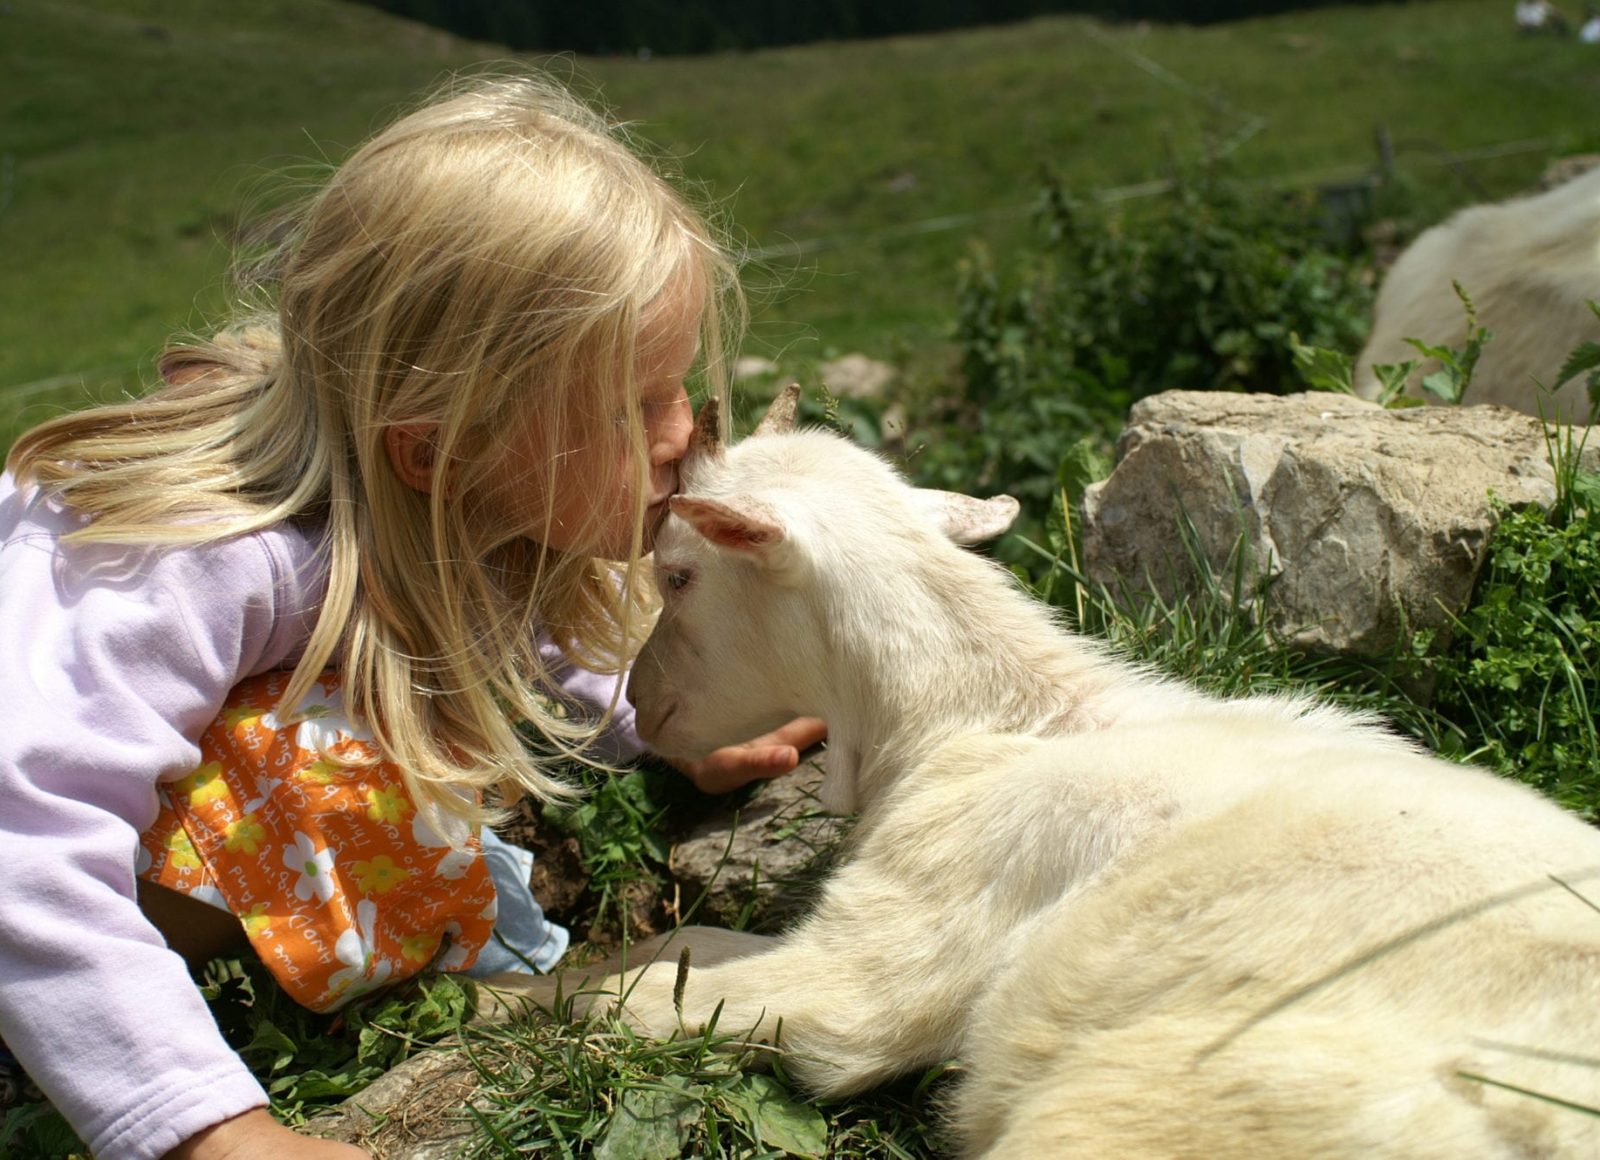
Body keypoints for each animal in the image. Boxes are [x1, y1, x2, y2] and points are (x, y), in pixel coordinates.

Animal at [493, 388, 1600, 1158]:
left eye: (678, 573)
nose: (641, 701)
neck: (985, 718)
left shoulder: (892, 946)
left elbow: (670, 989)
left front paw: (522, 1005)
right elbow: (684, 942)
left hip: (1158, 1101)